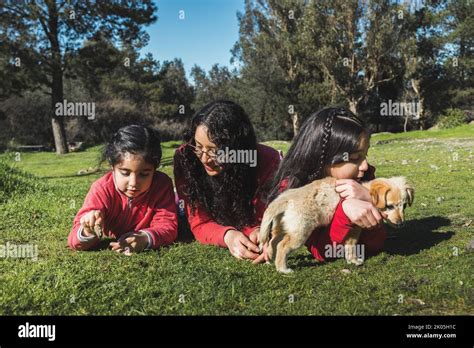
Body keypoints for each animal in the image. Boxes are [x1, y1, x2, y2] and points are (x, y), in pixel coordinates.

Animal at [258, 177, 412, 272]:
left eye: (404, 206)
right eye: (389, 206)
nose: (401, 223)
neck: (365, 193)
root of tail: (287, 198)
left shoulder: (352, 231)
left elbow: (350, 246)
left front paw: (352, 260)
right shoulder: (355, 227)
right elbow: (352, 245)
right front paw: (354, 259)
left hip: (283, 227)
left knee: (273, 241)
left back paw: (271, 259)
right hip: (301, 231)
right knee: (282, 246)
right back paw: (283, 269)